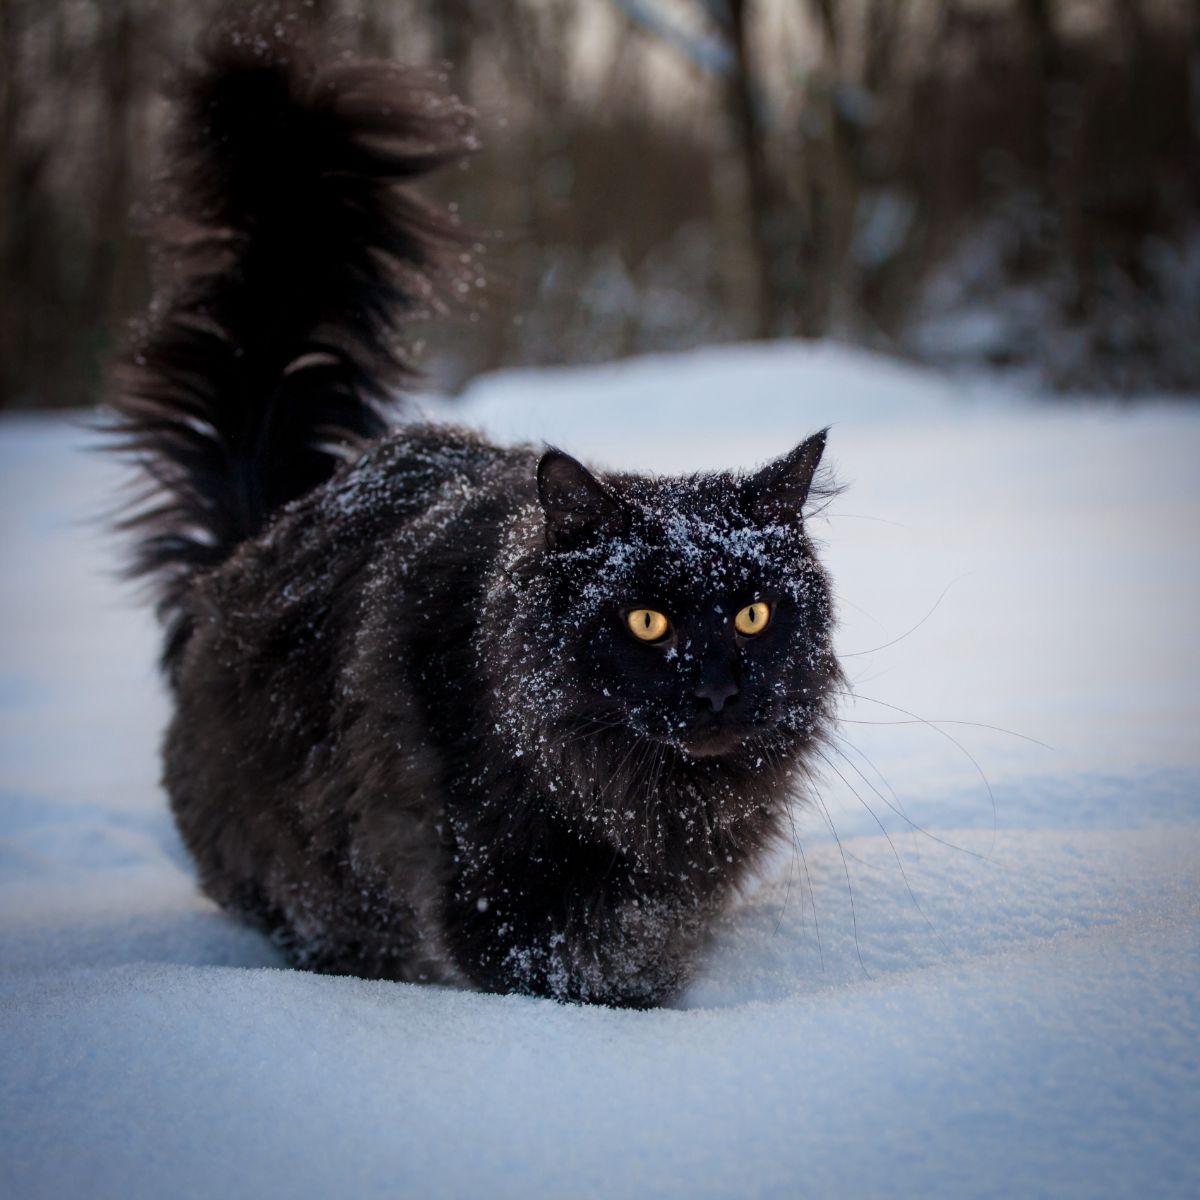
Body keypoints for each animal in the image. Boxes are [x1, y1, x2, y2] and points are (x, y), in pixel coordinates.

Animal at [110, 21, 844, 1012]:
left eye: (754, 614)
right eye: (646, 622)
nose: (718, 687)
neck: (635, 798)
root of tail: (265, 532)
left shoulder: (654, 907)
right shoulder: (507, 908)